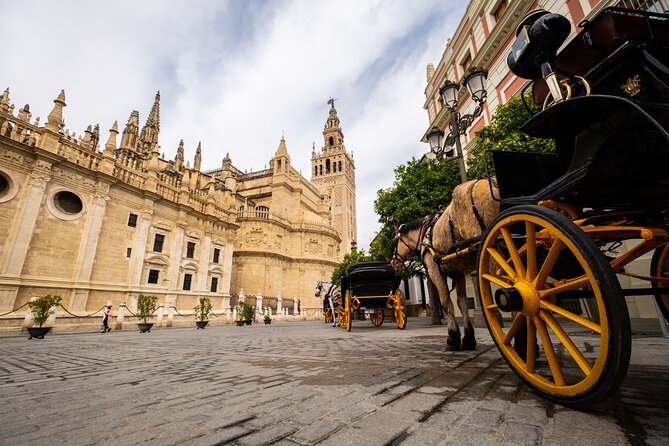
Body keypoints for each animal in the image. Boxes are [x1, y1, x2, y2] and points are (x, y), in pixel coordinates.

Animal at [388, 179, 498, 352]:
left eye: (393, 244)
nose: (393, 263)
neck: (425, 233)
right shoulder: (458, 272)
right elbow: (462, 302)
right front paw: (468, 339)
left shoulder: (435, 271)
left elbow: (446, 301)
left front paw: (453, 338)